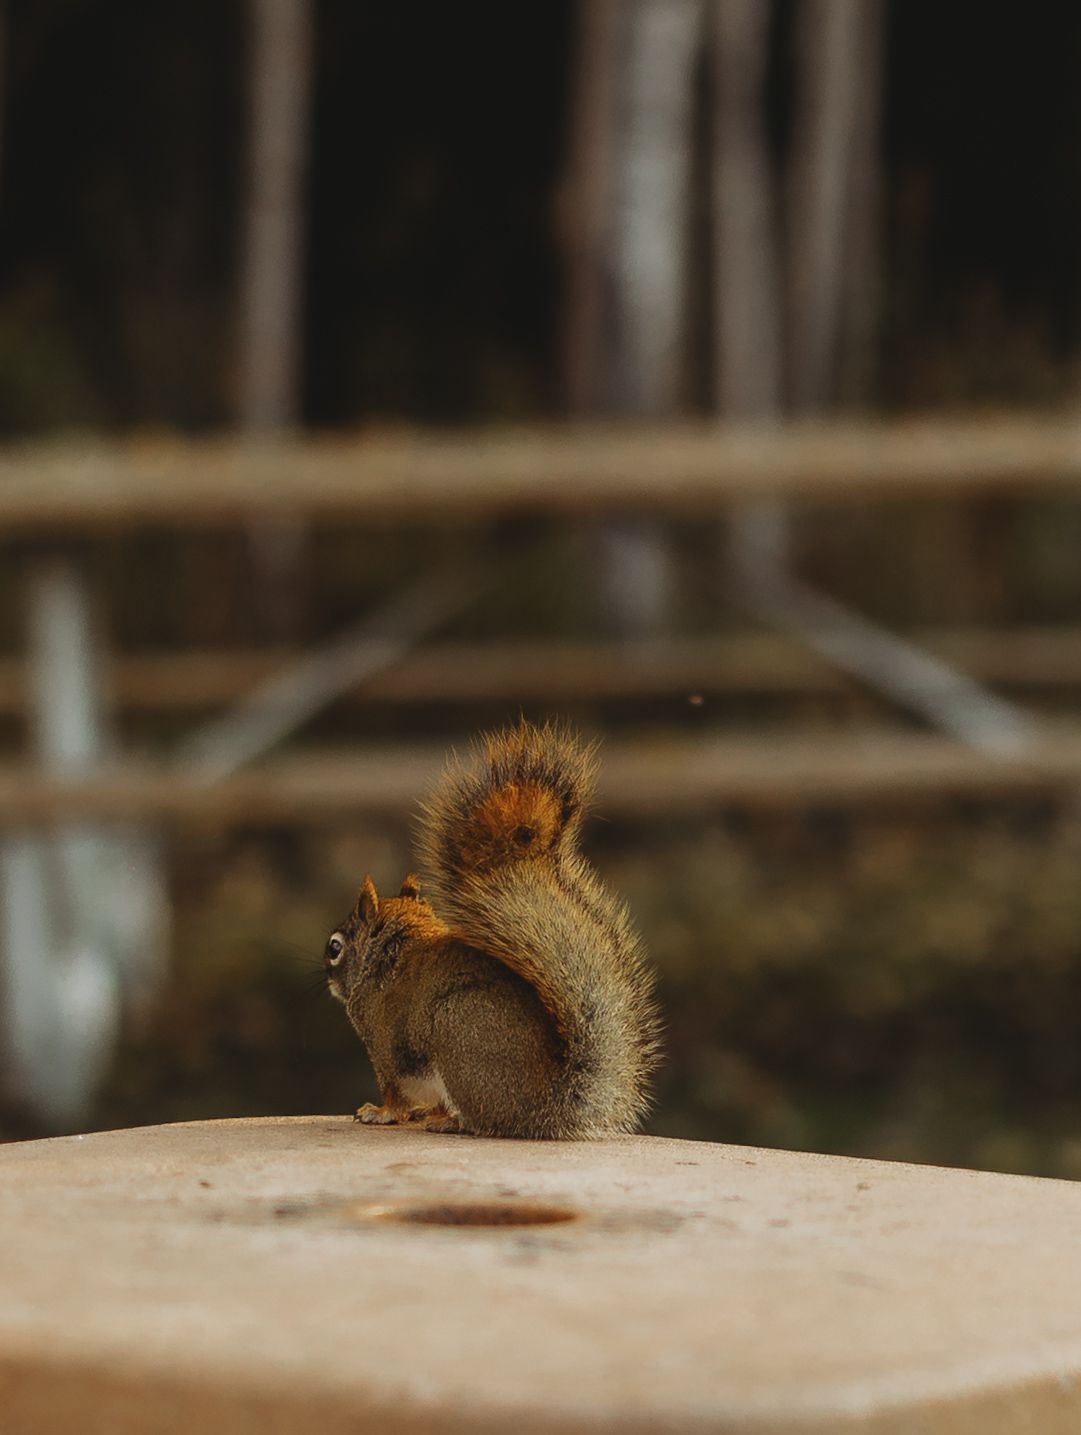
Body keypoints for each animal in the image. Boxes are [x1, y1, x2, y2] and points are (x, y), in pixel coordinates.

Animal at [323, 720, 660, 1138]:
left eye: (334, 947)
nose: (327, 977)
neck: (386, 957)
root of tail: (543, 1110)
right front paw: (414, 1110)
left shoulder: (384, 1044)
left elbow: (395, 1092)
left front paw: (379, 1112)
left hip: (457, 1034)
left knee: (480, 1120)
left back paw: (450, 1120)